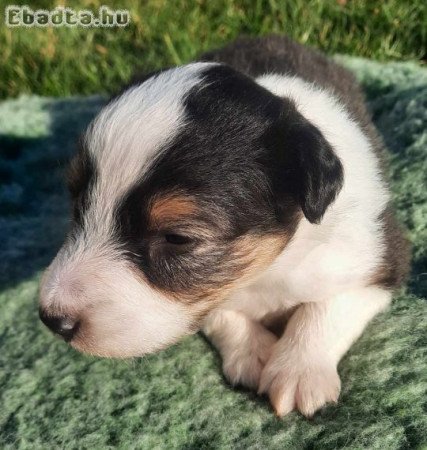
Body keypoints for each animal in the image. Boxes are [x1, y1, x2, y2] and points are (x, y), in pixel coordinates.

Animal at [40, 37, 412, 416]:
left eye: (177, 238)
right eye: (77, 204)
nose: (52, 320)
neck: (268, 270)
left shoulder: (378, 257)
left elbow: (325, 308)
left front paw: (297, 371)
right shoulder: (207, 299)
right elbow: (216, 311)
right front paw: (254, 352)